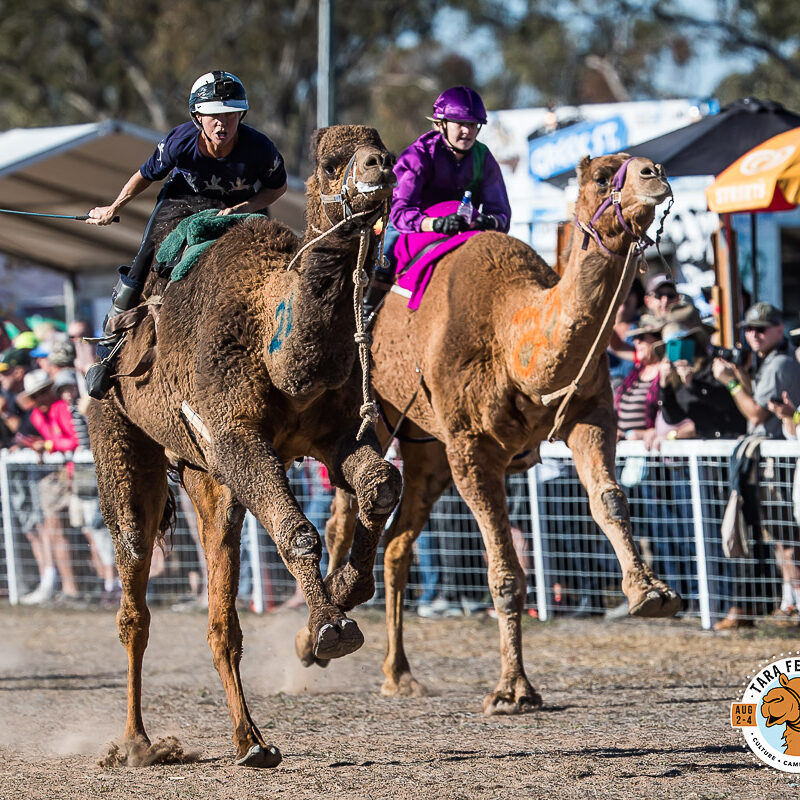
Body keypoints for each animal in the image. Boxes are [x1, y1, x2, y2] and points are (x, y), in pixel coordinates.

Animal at [87, 125, 404, 768]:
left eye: (379, 146)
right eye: (331, 161)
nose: (380, 166)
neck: (270, 336)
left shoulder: (332, 434)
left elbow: (381, 486)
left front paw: (346, 589)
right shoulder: (233, 435)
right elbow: (297, 529)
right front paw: (330, 627)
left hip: (205, 478)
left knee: (220, 616)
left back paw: (252, 741)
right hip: (120, 435)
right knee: (134, 591)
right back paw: (137, 744)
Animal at [312, 150, 680, 712]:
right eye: (602, 177)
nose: (655, 174)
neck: (514, 338)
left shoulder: (589, 414)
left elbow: (610, 500)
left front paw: (652, 594)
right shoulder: (472, 447)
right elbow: (505, 572)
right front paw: (513, 691)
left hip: (428, 451)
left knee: (398, 543)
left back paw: (399, 675)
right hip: (374, 419)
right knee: (342, 520)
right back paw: (314, 643)